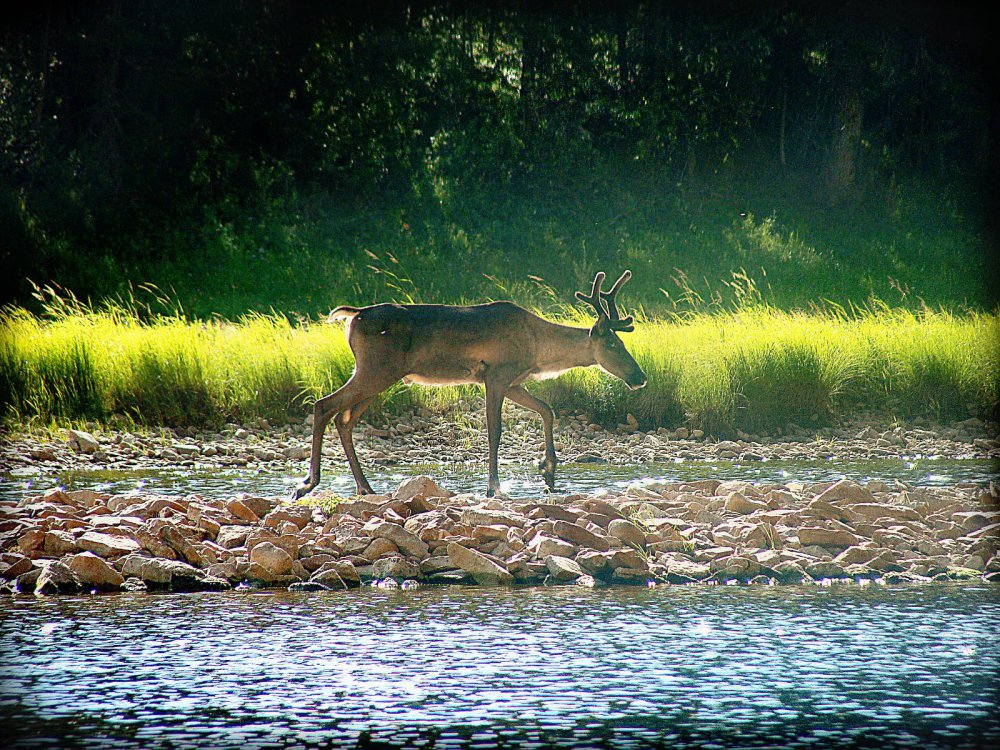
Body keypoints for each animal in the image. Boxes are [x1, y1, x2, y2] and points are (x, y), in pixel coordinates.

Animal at [293, 271, 646, 500]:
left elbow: (547, 410)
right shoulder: (496, 375)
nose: (640, 376)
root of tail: (353, 315)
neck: (537, 348)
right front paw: (494, 486)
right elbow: (495, 430)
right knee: (324, 405)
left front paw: (548, 471)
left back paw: (364, 487)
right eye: (613, 344)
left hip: (378, 374)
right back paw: (308, 483)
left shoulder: (514, 381)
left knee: (344, 419)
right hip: (376, 370)